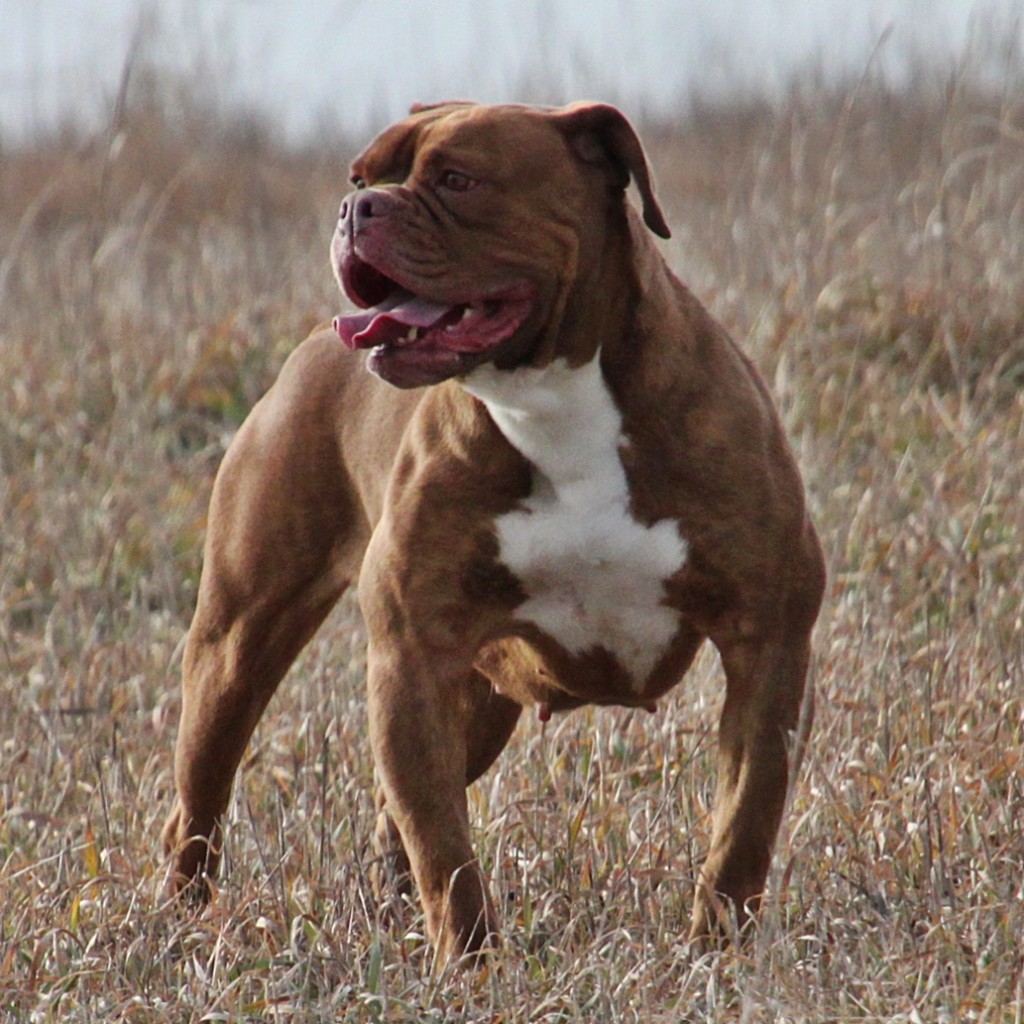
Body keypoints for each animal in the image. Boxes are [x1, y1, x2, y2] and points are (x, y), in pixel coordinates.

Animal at [163, 99, 827, 962]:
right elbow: (443, 842)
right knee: (204, 798)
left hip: (474, 700)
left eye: (457, 178)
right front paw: (470, 961)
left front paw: (721, 951)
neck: (552, 397)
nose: (355, 208)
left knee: (389, 813)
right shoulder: (412, 656)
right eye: (359, 174)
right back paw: (177, 922)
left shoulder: (767, 642)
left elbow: (744, 816)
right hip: (239, 641)